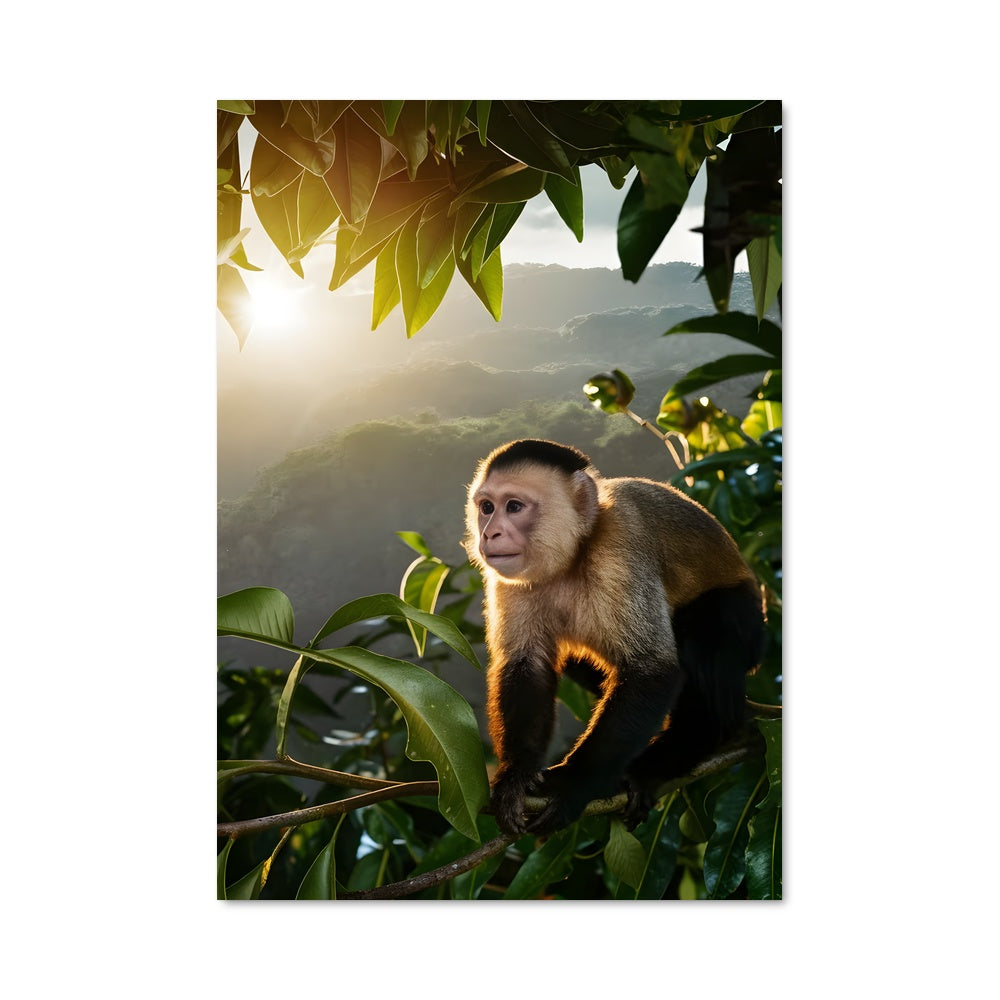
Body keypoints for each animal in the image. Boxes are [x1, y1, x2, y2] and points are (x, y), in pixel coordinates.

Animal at [463, 438, 767, 836]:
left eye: (514, 507)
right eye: (486, 508)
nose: (489, 533)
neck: (573, 554)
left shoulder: (619, 546)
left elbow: (653, 670)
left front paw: (574, 784)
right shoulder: (509, 578)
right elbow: (526, 664)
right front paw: (516, 775)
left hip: (746, 617)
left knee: (705, 634)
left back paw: (678, 752)